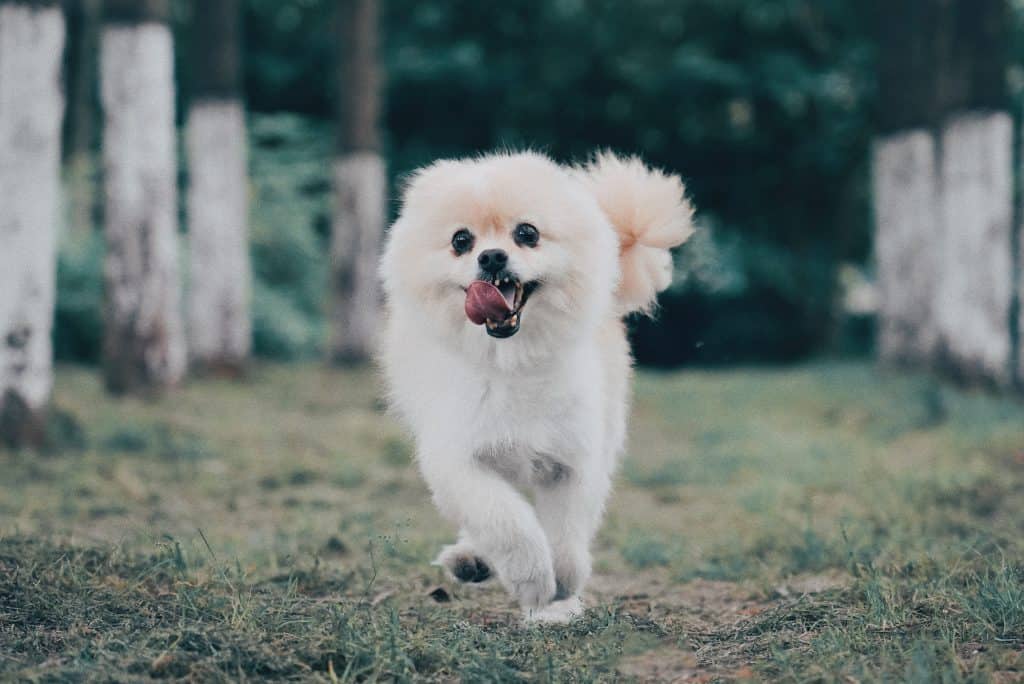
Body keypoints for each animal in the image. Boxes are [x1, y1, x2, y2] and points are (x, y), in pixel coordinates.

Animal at [380, 152, 692, 622]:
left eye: (527, 233)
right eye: (460, 240)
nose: (492, 257)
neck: (512, 362)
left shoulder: (572, 460)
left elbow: (565, 532)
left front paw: (561, 586)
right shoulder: (458, 458)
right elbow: (506, 521)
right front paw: (531, 578)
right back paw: (473, 558)